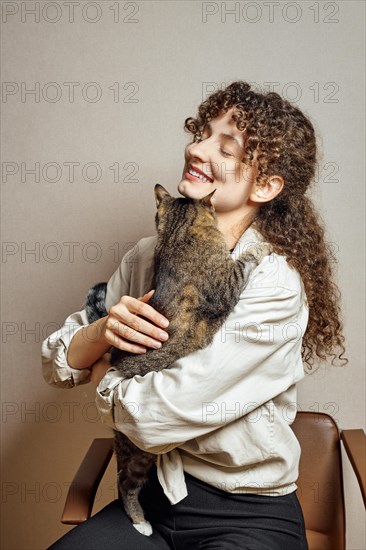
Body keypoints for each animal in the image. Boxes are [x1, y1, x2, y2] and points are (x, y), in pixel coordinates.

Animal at [84, 183, 270, 536]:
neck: (177, 236)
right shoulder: (229, 283)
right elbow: (243, 262)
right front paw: (259, 249)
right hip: (138, 452)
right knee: (124, 482)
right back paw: (141, 523)